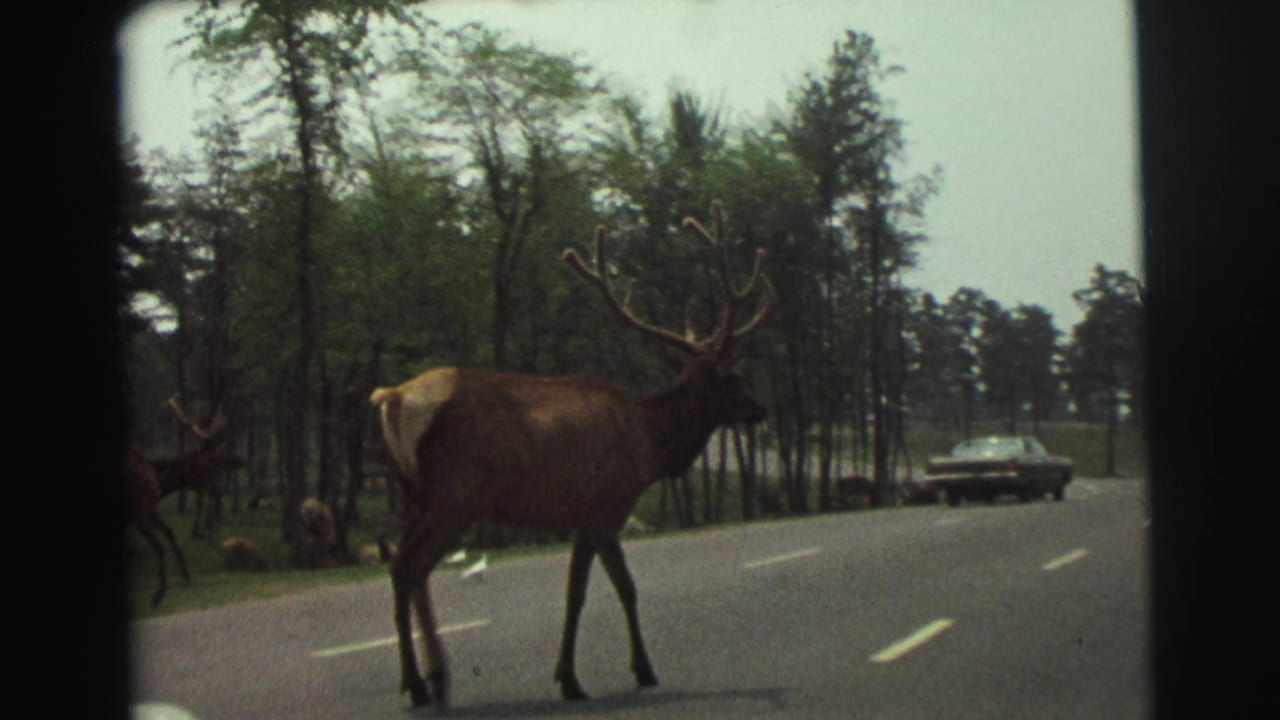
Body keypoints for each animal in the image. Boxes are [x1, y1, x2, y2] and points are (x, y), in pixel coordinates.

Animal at [126, 397, 244, 607]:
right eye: (206, 463)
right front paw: (158, 594)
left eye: (218, 459)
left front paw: (185, 572)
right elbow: (160, 546)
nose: (218, 491)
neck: (160, 485)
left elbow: (170, 533)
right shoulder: (138, 513)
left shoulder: (149, 509)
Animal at [369, 202, 776, 707]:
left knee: (410, 572)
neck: (650, 444)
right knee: (407, 567)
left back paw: (437, 677)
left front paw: (573, 675)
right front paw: (625, 672)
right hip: (455, 495)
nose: (760, 407)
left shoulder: (584, 515)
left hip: (415, 494)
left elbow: (577, 592)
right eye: (732, 378)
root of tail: (393, 398)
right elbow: (615, 589)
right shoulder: (605, 505)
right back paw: (418, 684)